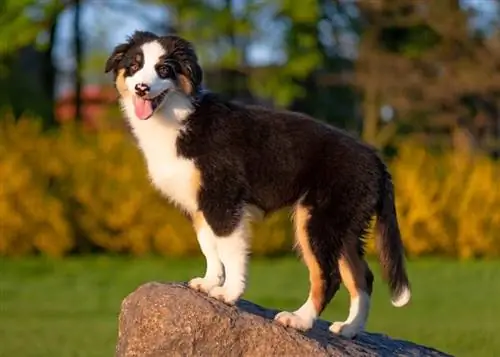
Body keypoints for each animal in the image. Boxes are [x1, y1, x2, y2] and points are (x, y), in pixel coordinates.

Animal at [104, 29, 410, 336]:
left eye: (164, 69)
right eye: (134, 66)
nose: (141, 88)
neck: (181, 117)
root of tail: (375, 158)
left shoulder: (223, 199)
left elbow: (229, 249)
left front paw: (228, 293)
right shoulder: (202, 205)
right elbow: (208, 245)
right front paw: (209, 282)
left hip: (318, 220)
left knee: (329, 274)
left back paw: (299, 319)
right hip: (345, 226)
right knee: (362, 275)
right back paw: (350, 328)